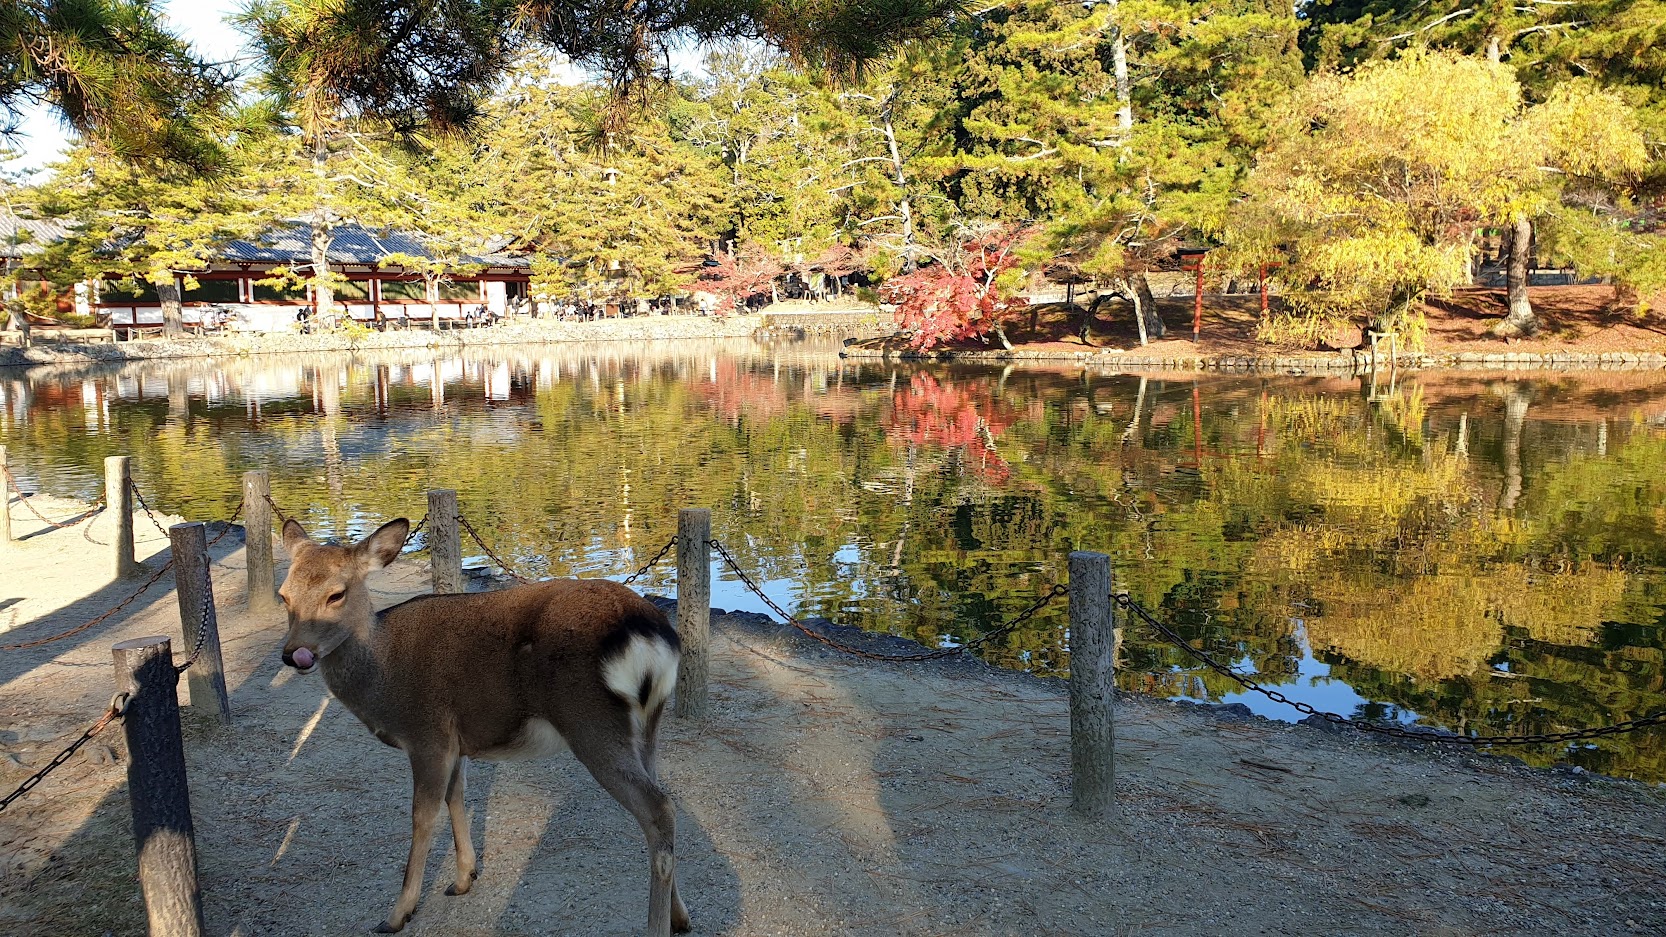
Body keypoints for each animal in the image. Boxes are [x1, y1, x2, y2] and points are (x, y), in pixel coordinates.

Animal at [278, 513, 689, 926]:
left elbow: (422, 816)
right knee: (663, 799)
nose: (294, 654)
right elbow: (455, 796)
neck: (382, 681)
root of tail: (652, 634)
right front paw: (464, 878)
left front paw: (398, 914)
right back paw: (681, 917)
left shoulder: (427, 733)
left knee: (658, 808)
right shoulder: (456, 741)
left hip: (590, 719)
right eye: (284, 596)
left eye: (336, 594)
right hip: (646, 725)